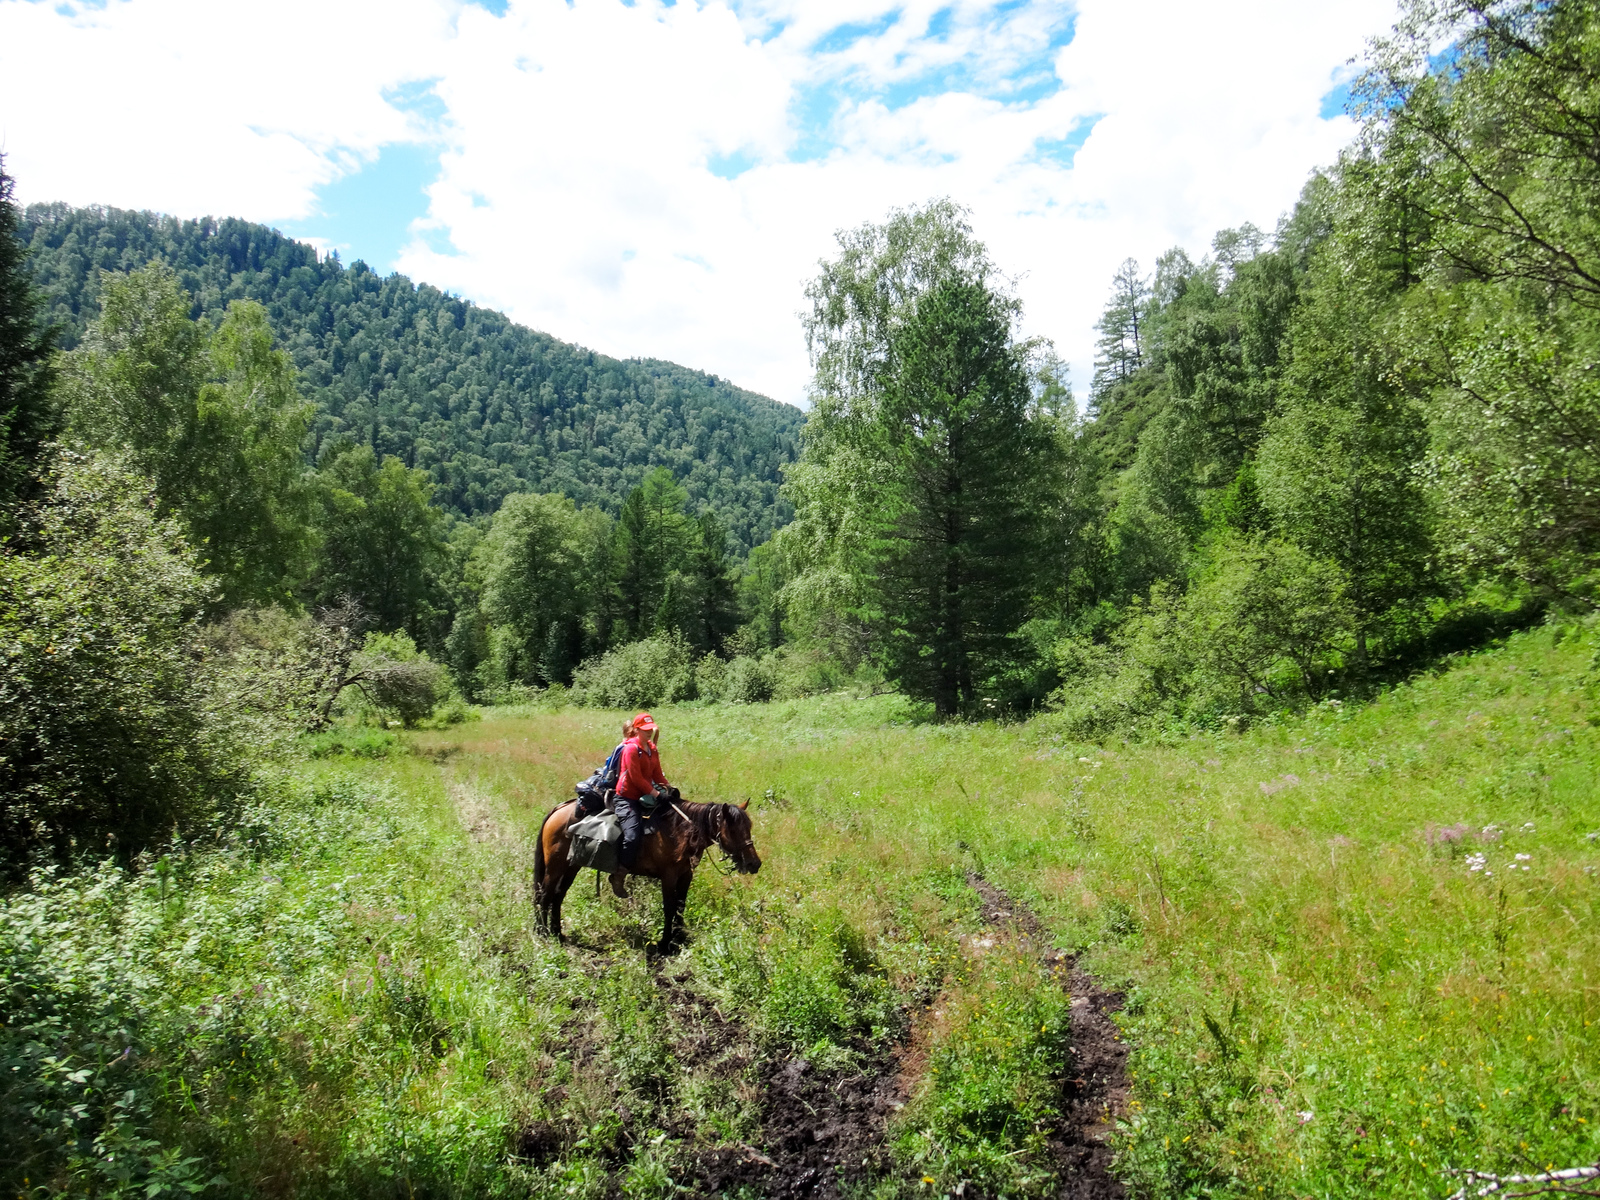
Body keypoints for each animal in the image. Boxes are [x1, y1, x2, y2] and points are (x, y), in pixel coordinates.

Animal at [531, 800, 761, 960]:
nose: (754, 864)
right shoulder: (668, 876)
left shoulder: (686, 875)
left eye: (748, 827)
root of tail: (558, 810)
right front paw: (665, 943)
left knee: (558, 895)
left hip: (572, 866)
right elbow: (669, 907)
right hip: (556, 866)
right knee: (545, 895)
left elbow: (681, 905)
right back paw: (543, 932)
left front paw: (679, 938)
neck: (679, 833)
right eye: (733, 830)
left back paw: (557, 932)